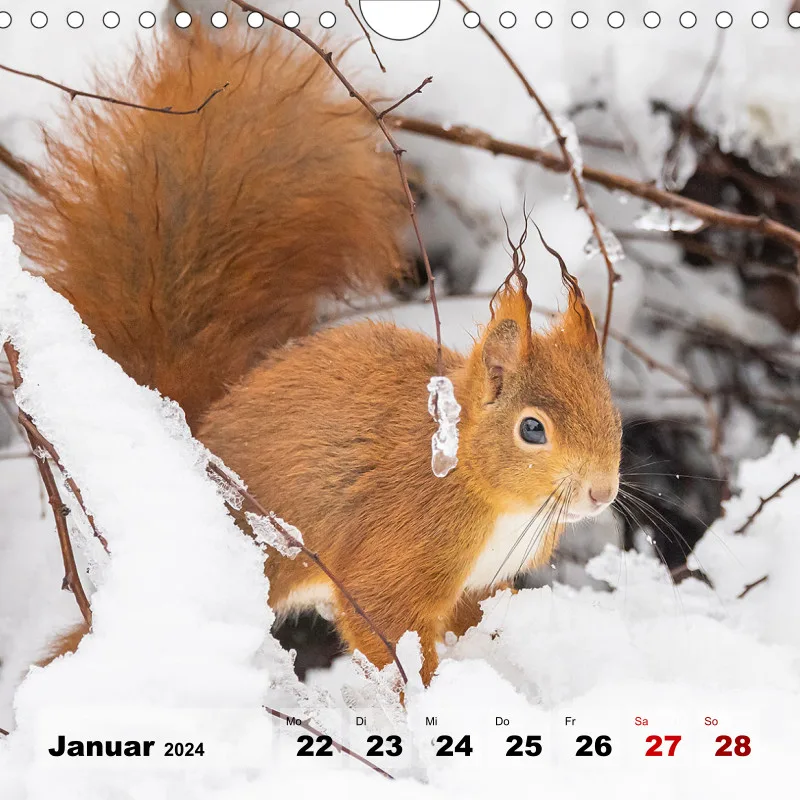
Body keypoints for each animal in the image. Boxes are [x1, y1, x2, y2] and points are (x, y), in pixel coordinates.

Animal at [9, 29, 622, 686]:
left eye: (613, 413)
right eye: (532, 429)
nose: (601, 494)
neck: (481, 484)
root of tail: (190, 436)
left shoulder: (476, 585)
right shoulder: (403, 547)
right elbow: (389, 630)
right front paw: (431, 698)